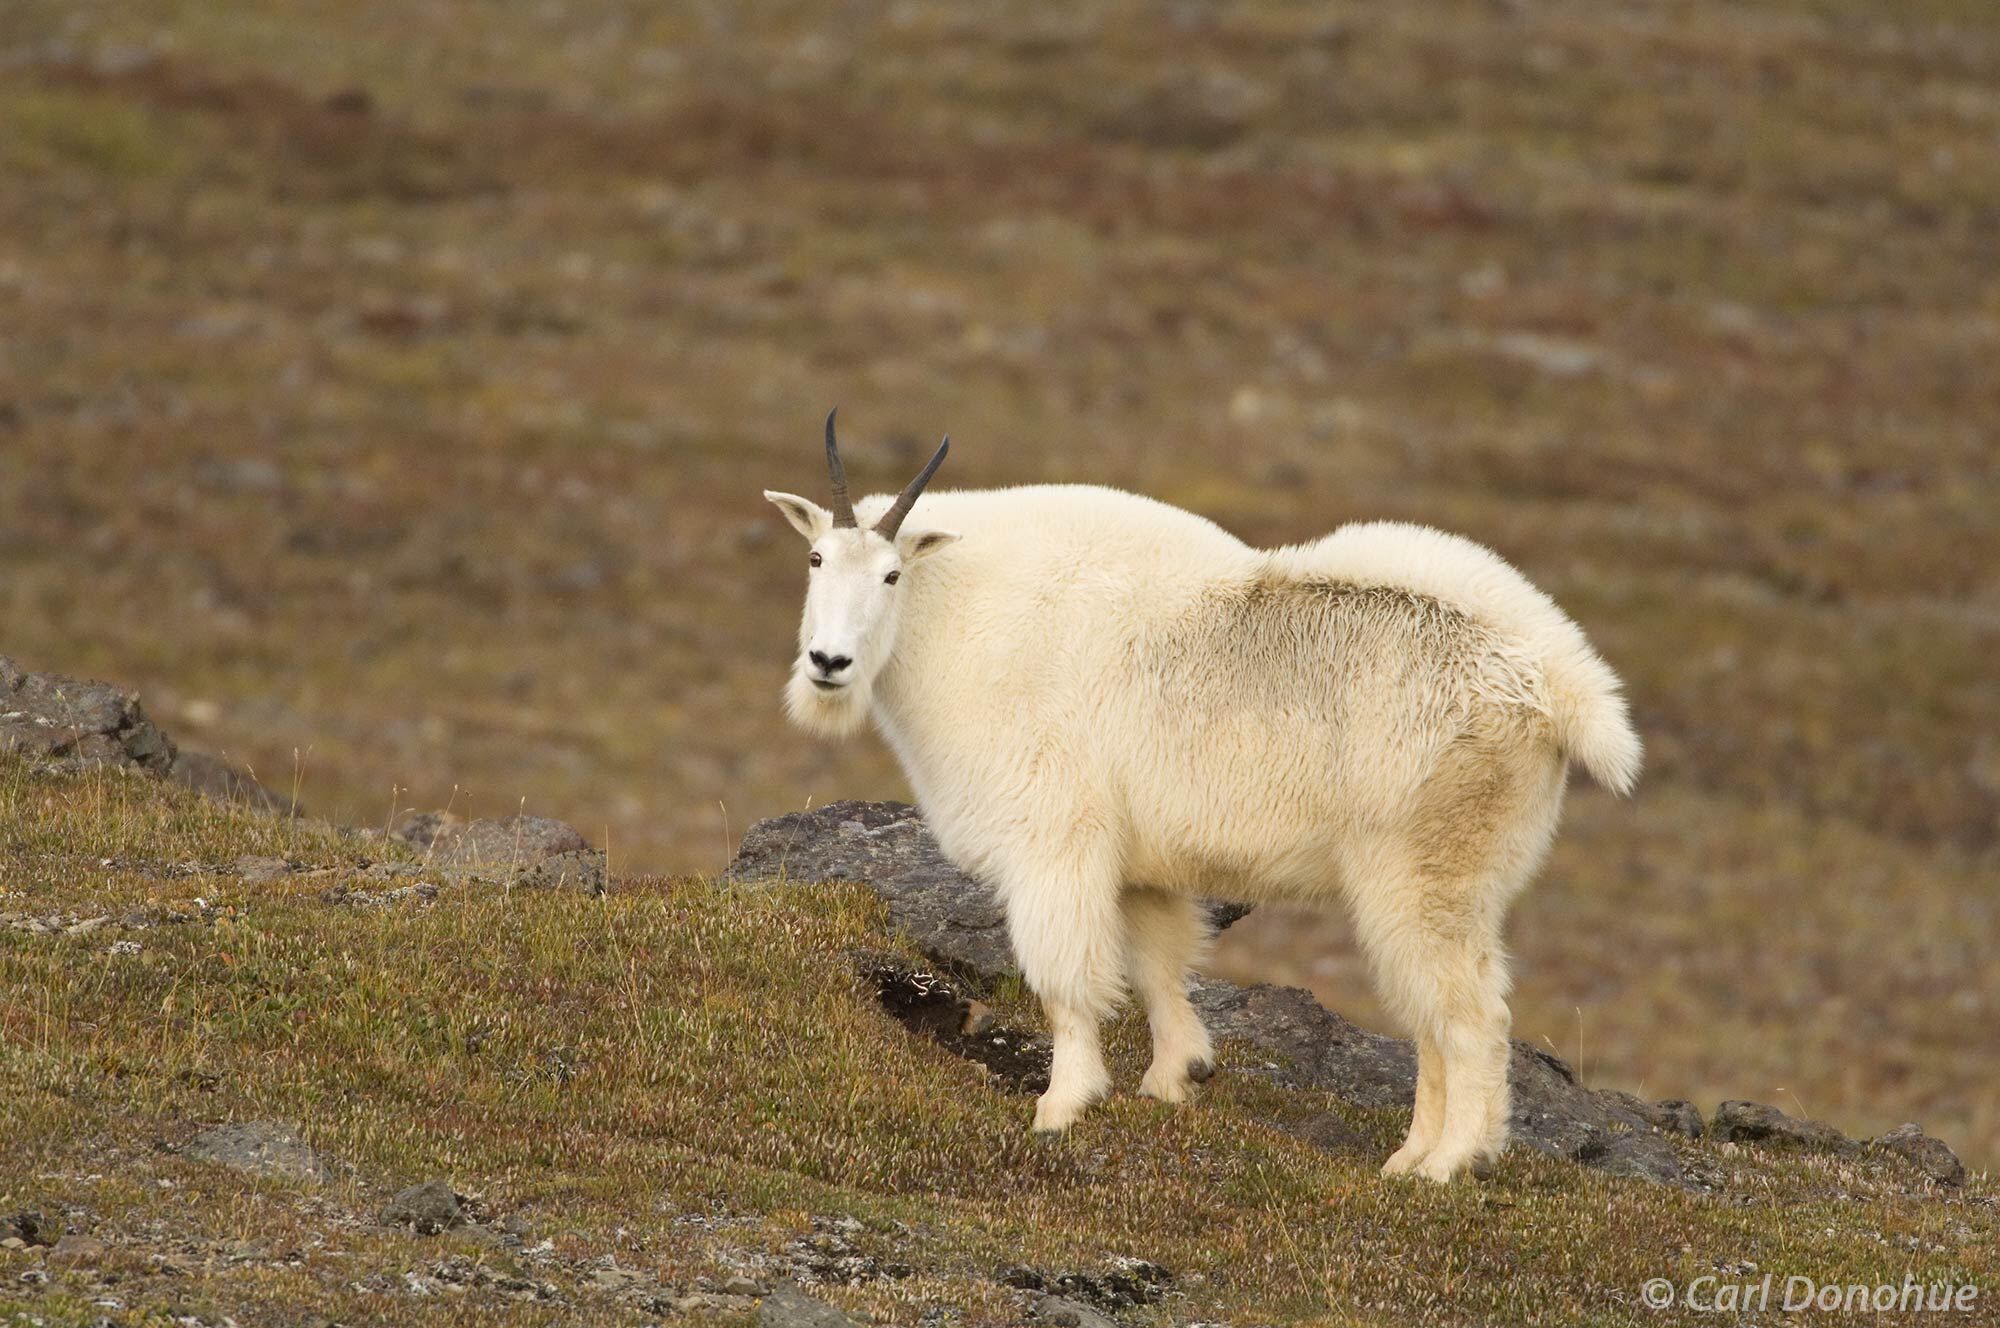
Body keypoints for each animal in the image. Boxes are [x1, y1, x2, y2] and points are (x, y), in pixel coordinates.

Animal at [764, 412, 1640, 1184]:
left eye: (891, 574)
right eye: (813, 560)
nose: (829, 663)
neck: (956, 614)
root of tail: (1557, 690)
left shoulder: (1054, 838)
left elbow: (1067, 978)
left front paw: (1061, 1106)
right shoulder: (1141, 864)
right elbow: (1158, 964)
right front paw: (1175, 1079)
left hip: (1427, 869)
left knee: (1470, 1018)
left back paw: (1454, 1163)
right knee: (1432, 1017)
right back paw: (1406, 1159)